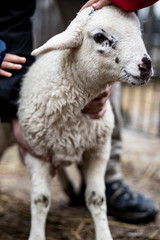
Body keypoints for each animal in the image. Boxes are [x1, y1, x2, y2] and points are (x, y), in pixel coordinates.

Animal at [17, 5, 152, 240]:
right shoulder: (36, 150)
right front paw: (36, 235)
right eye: (99, 37)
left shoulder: (99, 150)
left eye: (139, 31)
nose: (146, 65)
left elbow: (96, 198)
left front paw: (104, 234)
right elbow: (41, 199)